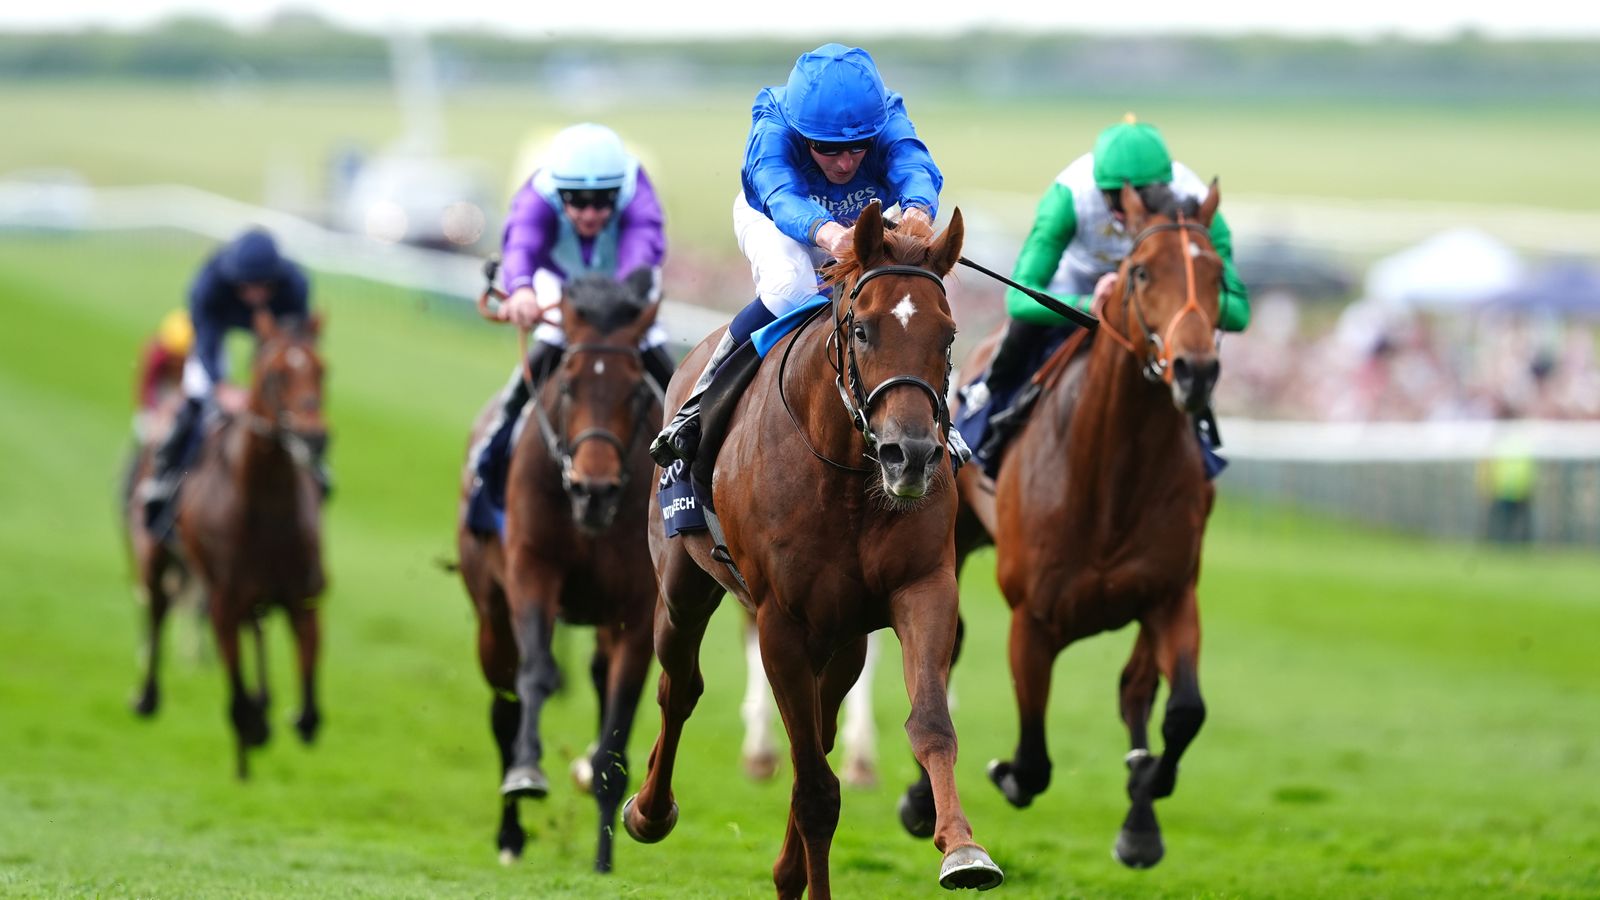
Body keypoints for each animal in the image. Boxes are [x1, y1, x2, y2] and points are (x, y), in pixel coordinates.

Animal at [132, 304, 331, 775]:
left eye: (322, 370)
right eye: (276, 374)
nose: (313, 437)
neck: (266, 503)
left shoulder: (303, 597)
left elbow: (309, 712)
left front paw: (285, 715)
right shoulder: (223, 599)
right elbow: (239, 701)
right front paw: (254, 727)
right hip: (155, 554)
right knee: (158, 609)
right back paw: (147, 696)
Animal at [457, 267, 662, 871]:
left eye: (636, 390)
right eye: (568, 385)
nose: (594, 489)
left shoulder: (638, 610)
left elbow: (616, 725)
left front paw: (604, 858)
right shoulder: (533, 572)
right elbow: (538, 674)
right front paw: (527, 774)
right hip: (490, 614)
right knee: (504, 707)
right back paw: (510, 833)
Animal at [620, 203, 998, 896]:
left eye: (949, 336)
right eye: (865, 329)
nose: (911, 456)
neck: (847, 473)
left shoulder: (921, 587)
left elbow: (929, 726)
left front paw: (962, 849)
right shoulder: (780, 622)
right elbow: (816, 792)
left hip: (841, 639)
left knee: (818, 729)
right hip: (683, 585)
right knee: (679, 684)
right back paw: (649, 810)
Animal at [902, 180, 1222, 864]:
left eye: (1217, 274)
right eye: (1141, 271)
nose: (1196, 370)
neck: (1111, 480)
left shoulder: (1171, 594)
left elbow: (1184, 711)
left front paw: (1148, 788)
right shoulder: (1033, 618)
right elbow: (1031, 762)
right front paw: (1001, 775)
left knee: (1136, 688)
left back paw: (1140, 816)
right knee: (945, 652)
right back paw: (919, 800)